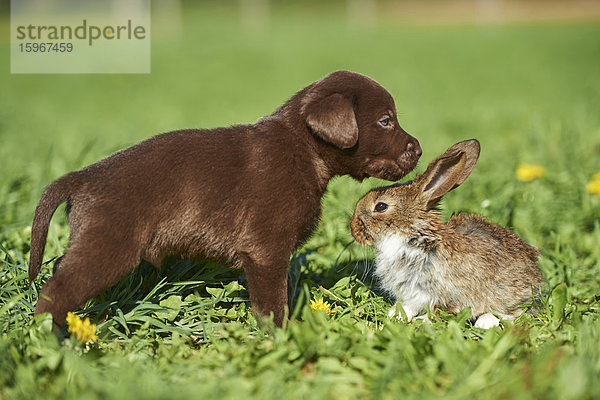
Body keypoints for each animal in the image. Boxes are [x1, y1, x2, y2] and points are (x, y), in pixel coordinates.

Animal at [29, 71, 422, 328]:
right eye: (385, 121)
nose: (418, 149)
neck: (304, 150)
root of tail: (84, 176)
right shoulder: (265, 252)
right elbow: (272, 304)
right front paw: (282, 337)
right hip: (108, 247)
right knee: (55, 290)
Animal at [352, 141, 544, 328]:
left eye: (381, 206)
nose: (353, 228)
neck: (415, 236)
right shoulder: (412, 294)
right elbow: (408, 307)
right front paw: (396, 315)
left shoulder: (447, 293)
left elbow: (440, 311)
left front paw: (422, 322)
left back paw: (486, 321)